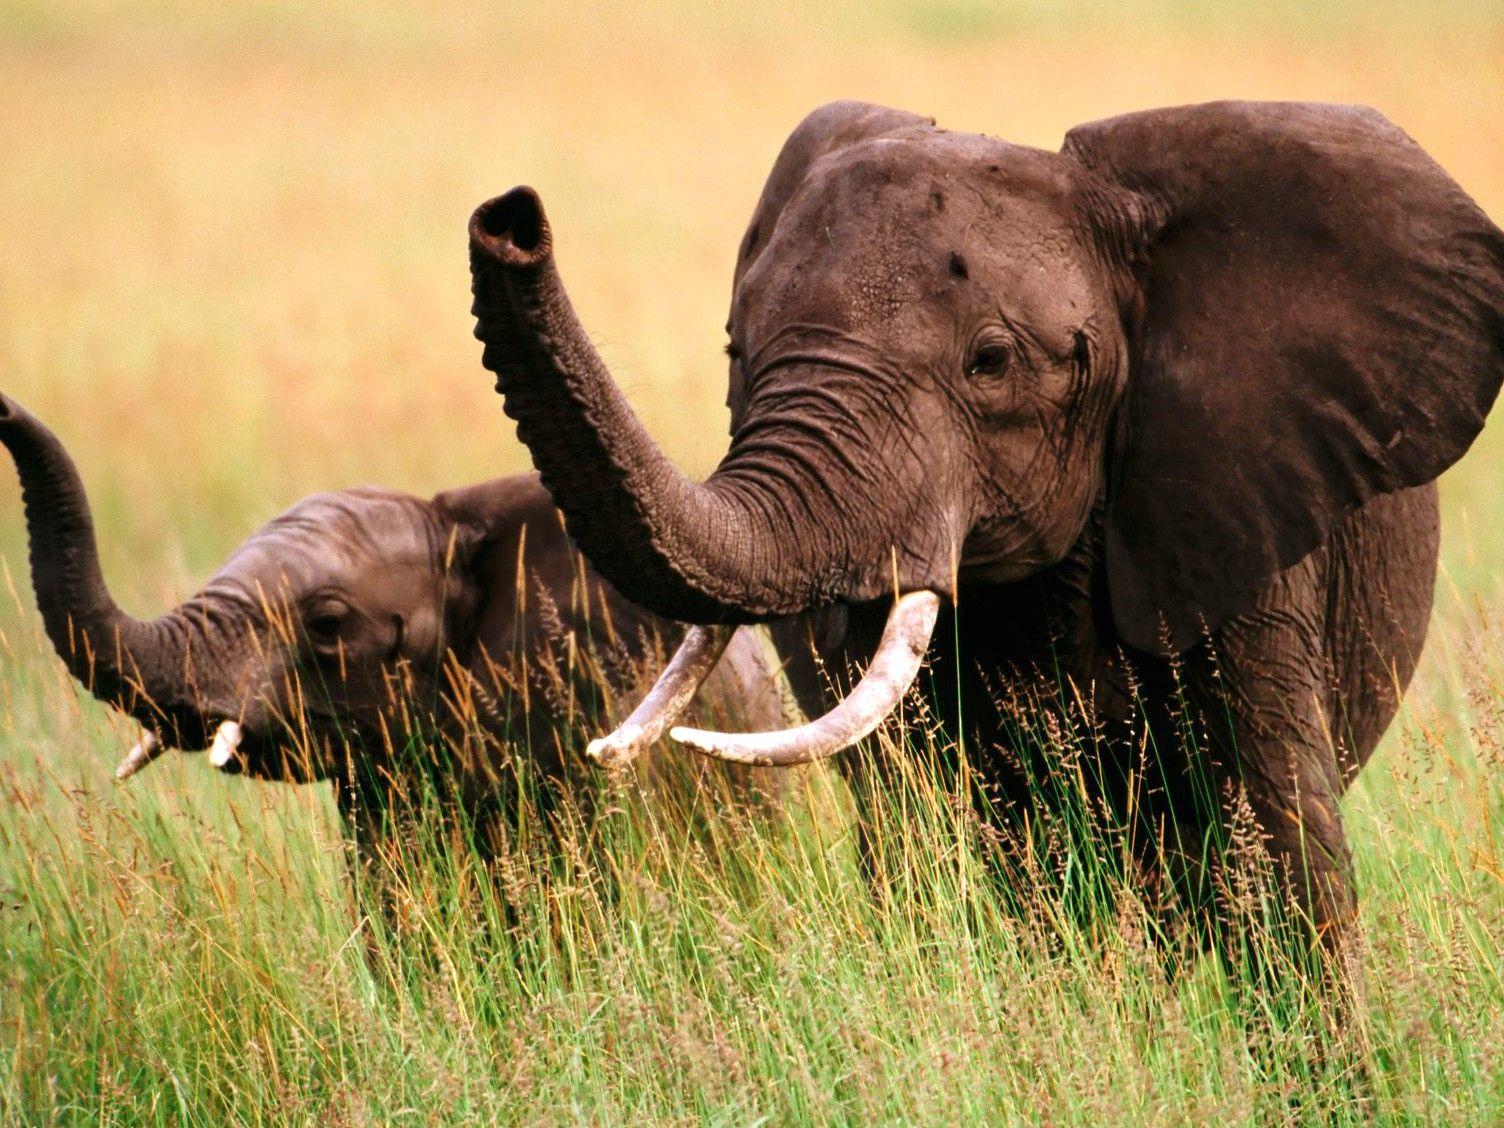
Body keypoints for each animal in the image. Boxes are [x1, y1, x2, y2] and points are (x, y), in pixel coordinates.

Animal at [466, 99, 1504, 977]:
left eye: (992, 363)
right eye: (735, 351)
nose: (510, 218)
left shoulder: (1234, 500)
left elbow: (1279, 850)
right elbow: (935, 836)